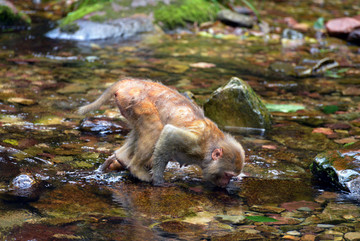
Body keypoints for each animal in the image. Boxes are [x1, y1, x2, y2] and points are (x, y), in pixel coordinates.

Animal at [78, 78, 245, 187]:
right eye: (227, 175)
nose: (226, 183)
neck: (208, 149)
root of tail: (131, 82)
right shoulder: (195, 142)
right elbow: (168, 134)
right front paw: (159, 181)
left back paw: (121, 156)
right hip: (136, 101)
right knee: (155, 130)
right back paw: (136, 169)